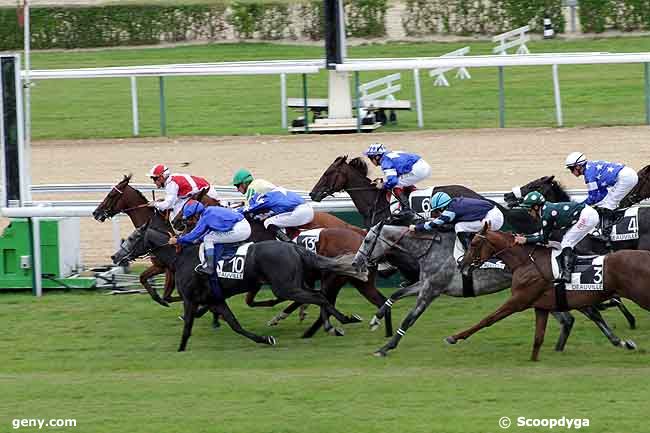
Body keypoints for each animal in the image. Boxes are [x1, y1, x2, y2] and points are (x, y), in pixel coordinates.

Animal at [448, 224, 648, 360]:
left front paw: (455, 337)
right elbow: (539, 337)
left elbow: (488, 319)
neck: (526, 262)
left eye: (474, 243)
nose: (462, 264)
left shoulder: (518, 301)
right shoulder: (542, 306)